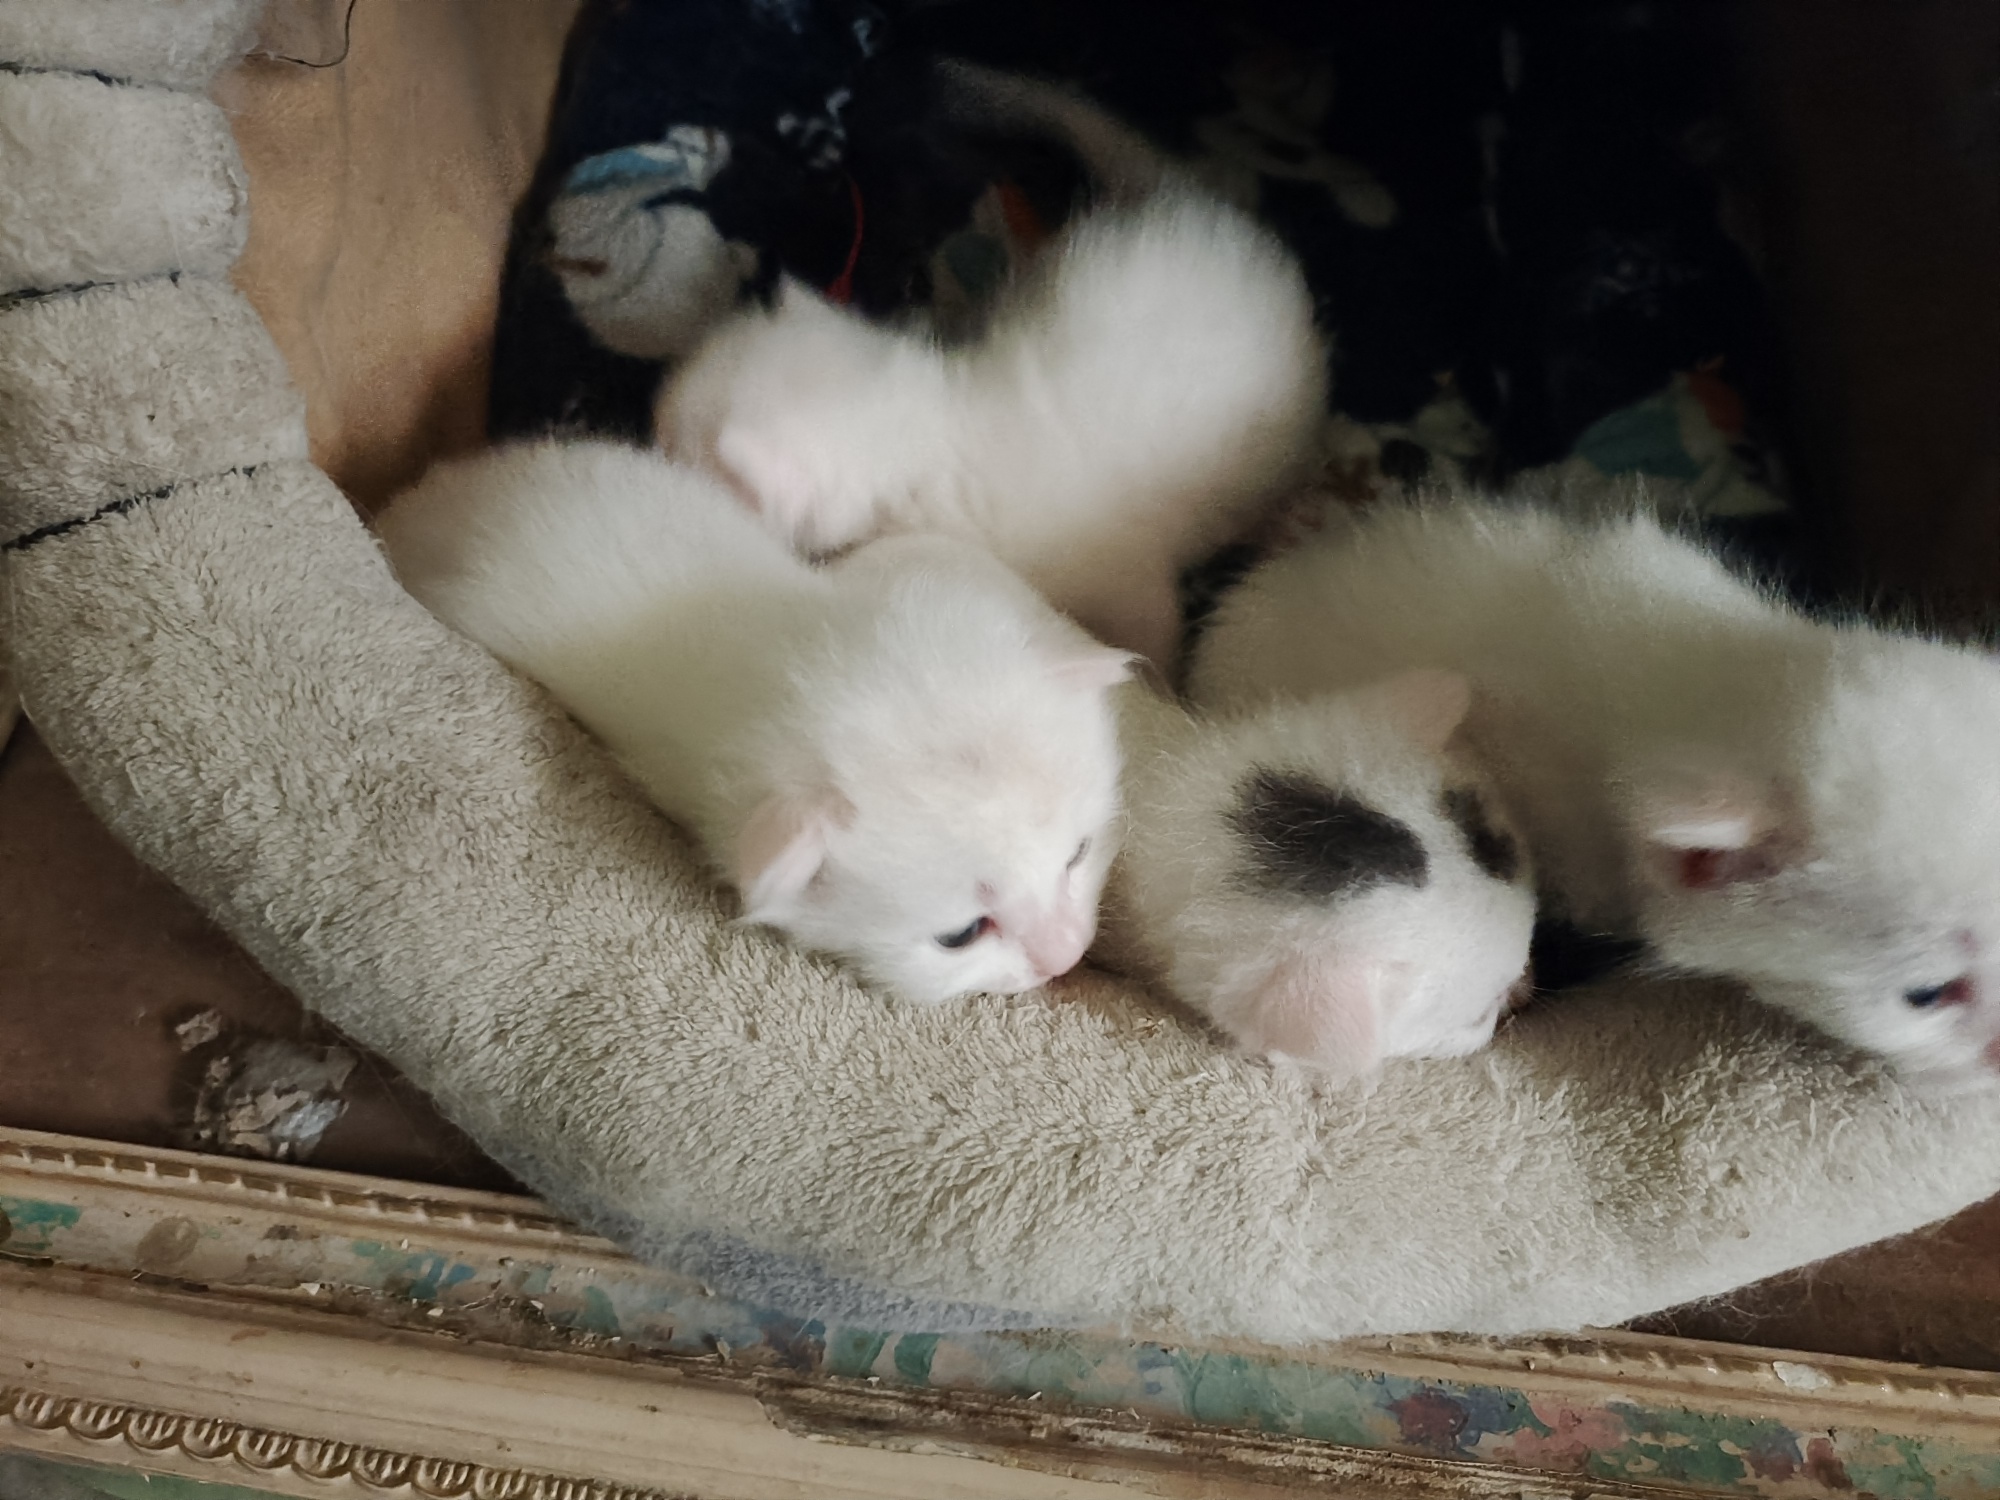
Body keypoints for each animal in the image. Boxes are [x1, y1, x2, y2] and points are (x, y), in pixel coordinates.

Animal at [655, 183, 1328, 672]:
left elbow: (1153, 622)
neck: (929, 431)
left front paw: (1164, 680)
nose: (644, 444)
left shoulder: (1119, 564)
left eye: (668, 447)